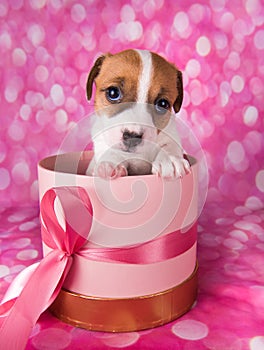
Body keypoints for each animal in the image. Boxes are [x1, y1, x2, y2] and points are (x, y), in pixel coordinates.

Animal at [85, 49, 191, 179]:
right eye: (113, 93)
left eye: (162, 104)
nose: (132, 137)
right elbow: (111, 149)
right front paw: (108, 162)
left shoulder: (171, 134)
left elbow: (170, 145)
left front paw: (170, 160)